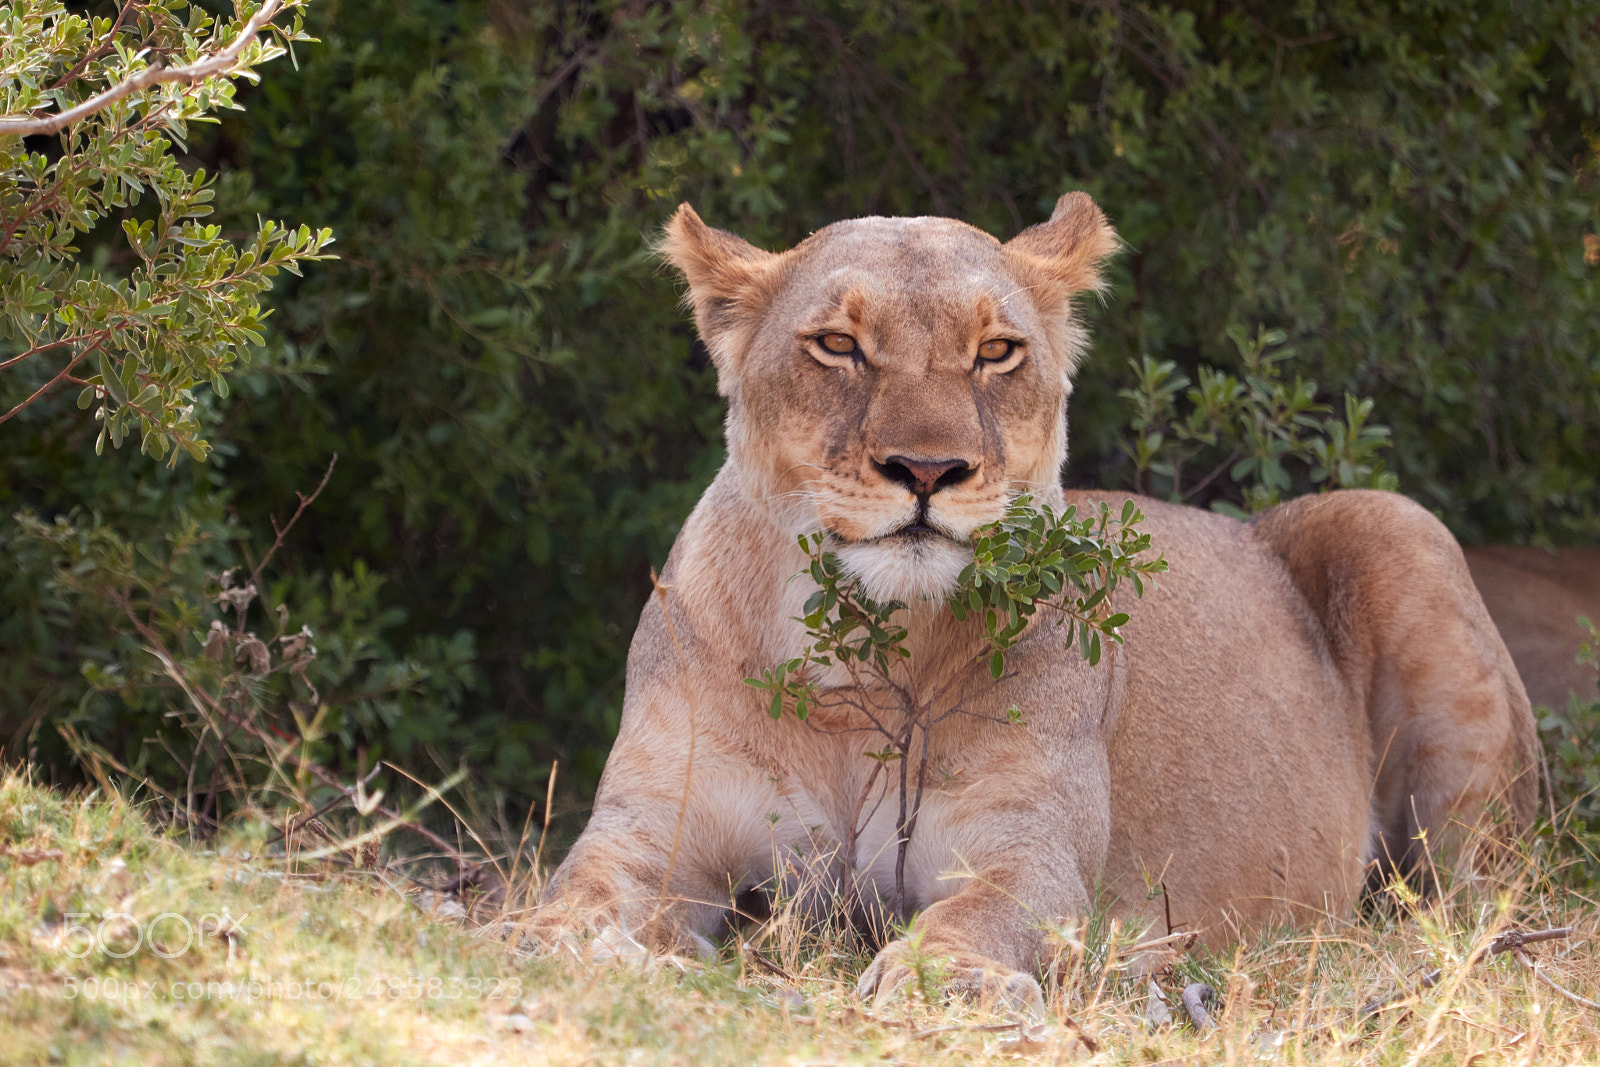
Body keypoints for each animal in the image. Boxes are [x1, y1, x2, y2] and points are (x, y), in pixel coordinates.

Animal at [534, 194, 1540, 1014]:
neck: (863, 660)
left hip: (1399, 529)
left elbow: (979, 917)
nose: (927, 470)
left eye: (995, 351)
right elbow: (577, 891)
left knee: (1484, 900)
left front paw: (948, 981)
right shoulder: (654, 829)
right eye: (838, 345)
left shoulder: (1027, 847)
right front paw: (567, 946)